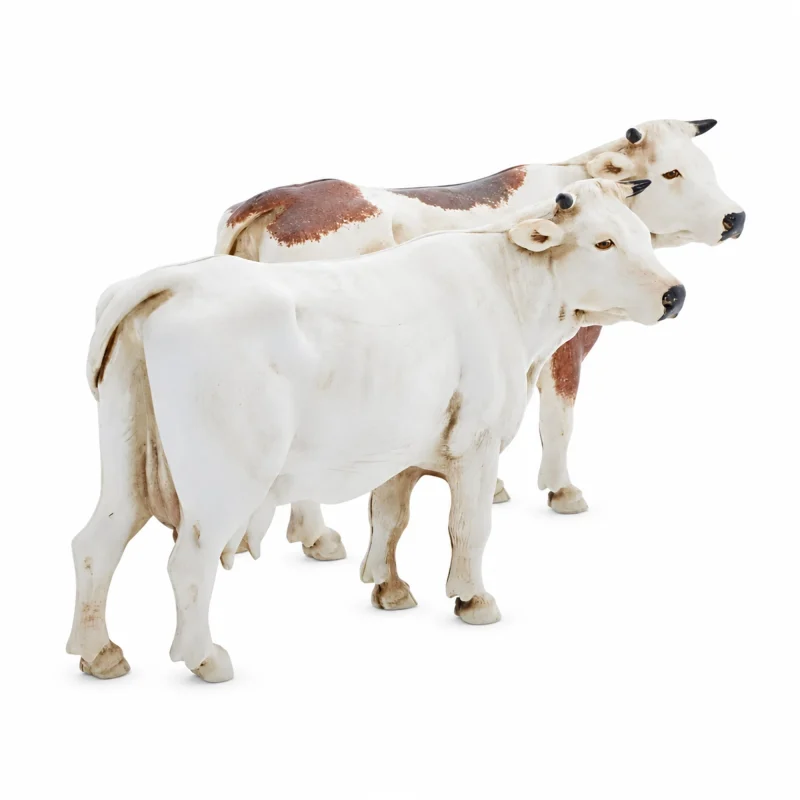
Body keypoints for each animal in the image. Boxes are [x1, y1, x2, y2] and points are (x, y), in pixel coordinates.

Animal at [69, 179, 684, 682]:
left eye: (642, 236)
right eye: (603, 243)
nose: (674, 294)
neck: (508, 290)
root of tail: (176, 281)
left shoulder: (400, 451)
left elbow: (389, 519)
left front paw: (390, 589)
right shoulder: (477, 444)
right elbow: (470, 527)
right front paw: (472, 600)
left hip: (127, 468)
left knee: (96, 545)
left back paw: (100, 653)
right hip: (222, 485)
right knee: (187, 564)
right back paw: (206, 658)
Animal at [214, 119, 743, 561]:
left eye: (707, 167)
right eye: (671, 172)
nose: (735, 218)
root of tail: (283, 197)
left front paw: (496, 488)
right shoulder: (562, 344)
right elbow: (559, 420)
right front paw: (562, 491)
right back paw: (317, 536)